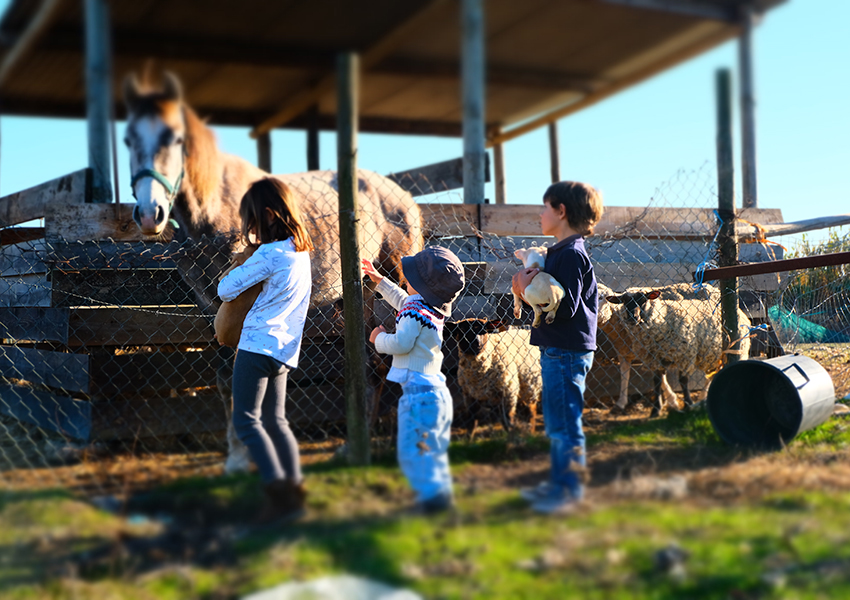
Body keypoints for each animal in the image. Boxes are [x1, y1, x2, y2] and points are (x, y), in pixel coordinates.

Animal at [121, 71, 420, 474]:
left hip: (395, 282)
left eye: (175, 138)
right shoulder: (210, 305)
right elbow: (225, 378)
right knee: (371, 364)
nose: (150, 214)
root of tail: (403, 198)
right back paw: (357, 444)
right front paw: (237, 457)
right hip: (356, 295)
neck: (215, 210)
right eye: (128, 140)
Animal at [604, 284, 748, 418]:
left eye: (643, 300)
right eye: (624, 301)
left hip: (736, 350)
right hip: (717, 354)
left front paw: (688, 405)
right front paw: (656, 410)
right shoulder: (654, 358)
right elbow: (657, 382)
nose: (632, 318)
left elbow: (683, 381)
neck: (663, 320)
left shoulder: (686, 355)